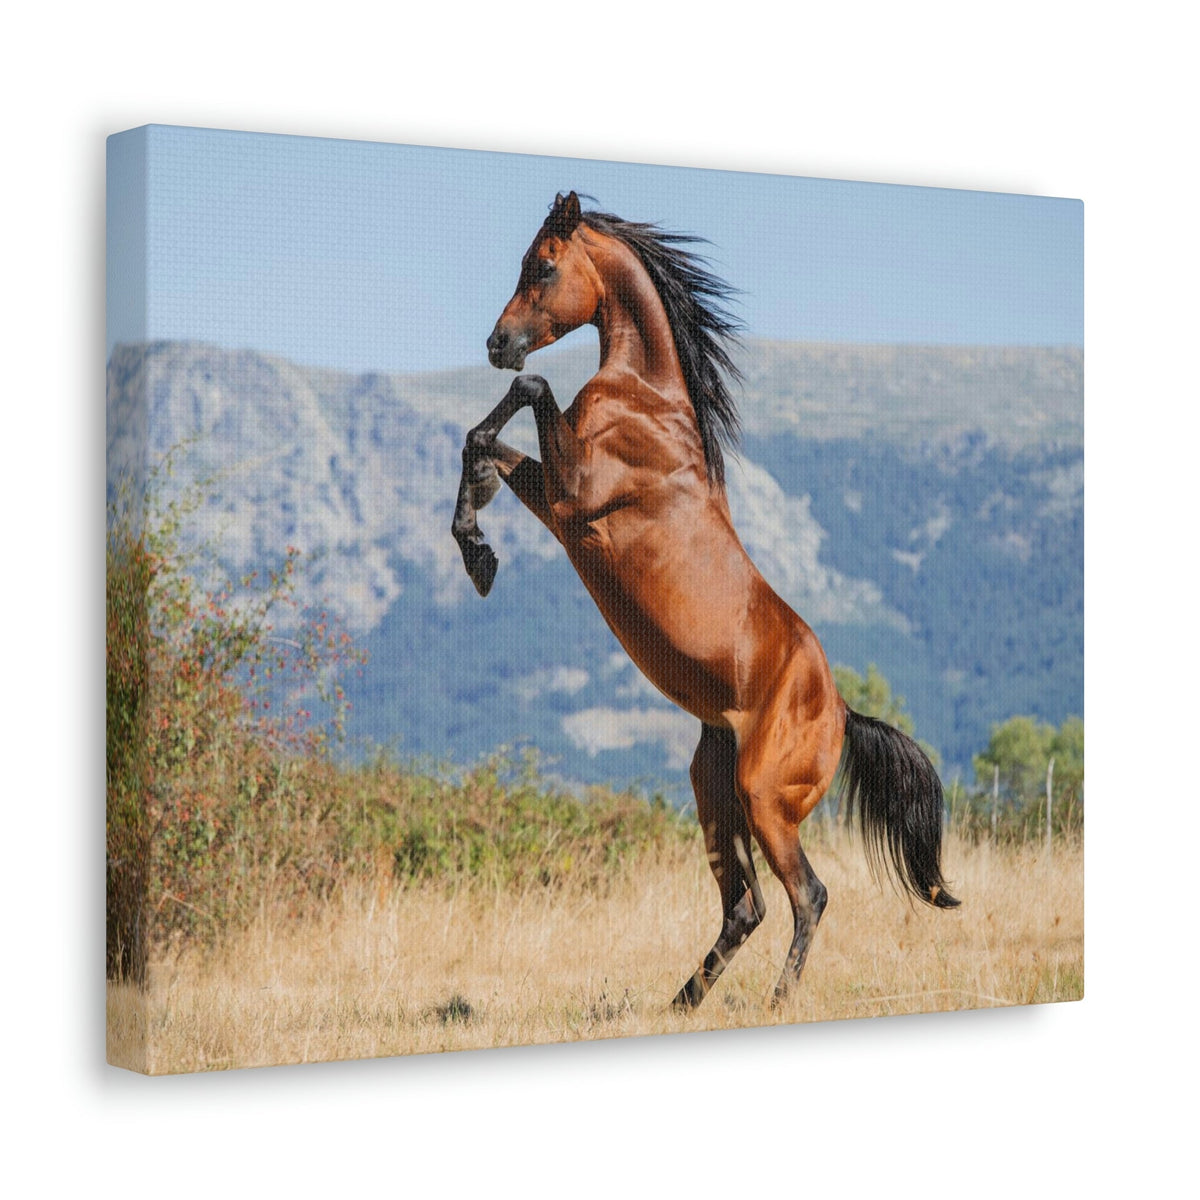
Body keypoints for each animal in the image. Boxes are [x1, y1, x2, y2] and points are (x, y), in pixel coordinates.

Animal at [452, 191, 958, 1009]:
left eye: (544, 266)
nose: (498, 343)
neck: (644, 400)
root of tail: (842, 712)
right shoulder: (560, 503)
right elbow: (482, 442)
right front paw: (478, 552)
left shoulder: (575, 493)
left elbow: (529, 396)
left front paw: (477, 545)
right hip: (713, 788)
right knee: (745, 906)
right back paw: (681, 1002)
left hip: (763, 798)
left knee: (808, 895)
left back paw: (776, 1001)